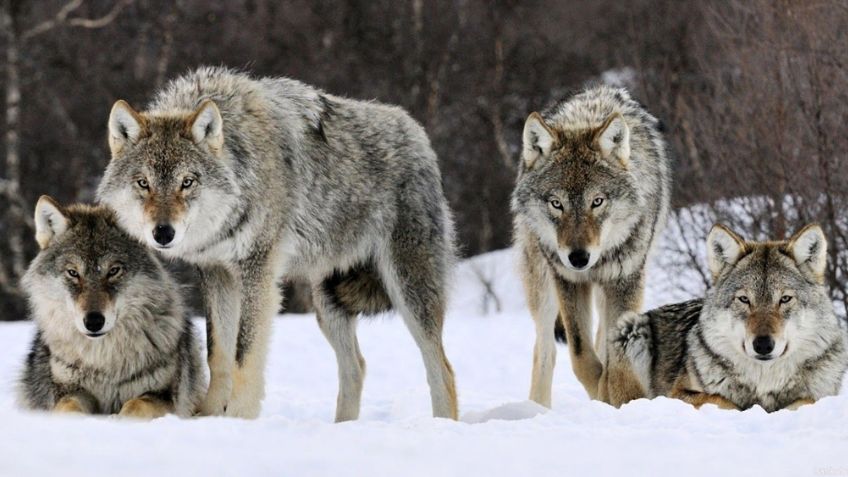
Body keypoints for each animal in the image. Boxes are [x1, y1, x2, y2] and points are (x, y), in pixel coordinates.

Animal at [17, 197, 205, 418]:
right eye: (73, 273)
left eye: (114, 271)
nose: (93, 321)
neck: (104, 362)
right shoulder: (69, 390)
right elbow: (68, 407)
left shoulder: (164, 396)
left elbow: (135, 406)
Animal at [97, 67, 458, 421]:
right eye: (143, 183)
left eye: (187, 182)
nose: (163, 233)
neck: (242, 168)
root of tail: (418, 133)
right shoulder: (216, 273)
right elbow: (219, 354)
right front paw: (209, 416)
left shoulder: (258, 273)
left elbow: (244, 355)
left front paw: (239, 419)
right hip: (327, 303)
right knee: (356, 367)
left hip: (408, 290)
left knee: (443, 369)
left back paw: (442, 424)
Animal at [512, 85, 670, 407]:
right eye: (556, 203)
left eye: (597, 201)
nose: (578, 257)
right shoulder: (568, 281)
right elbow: (581, 355)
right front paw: (601, 392)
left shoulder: (626, 280)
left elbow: (613, 355)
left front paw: (615, 396)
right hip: (542, 285)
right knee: (544, 350)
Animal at [613, 224, 848, 412]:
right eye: (744, 299)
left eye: (785, 299)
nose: (763, 345)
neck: (764, 383)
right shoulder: (677, 394)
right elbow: (721, 400)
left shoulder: (820, 395)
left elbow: (806, 401)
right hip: (630, 328)